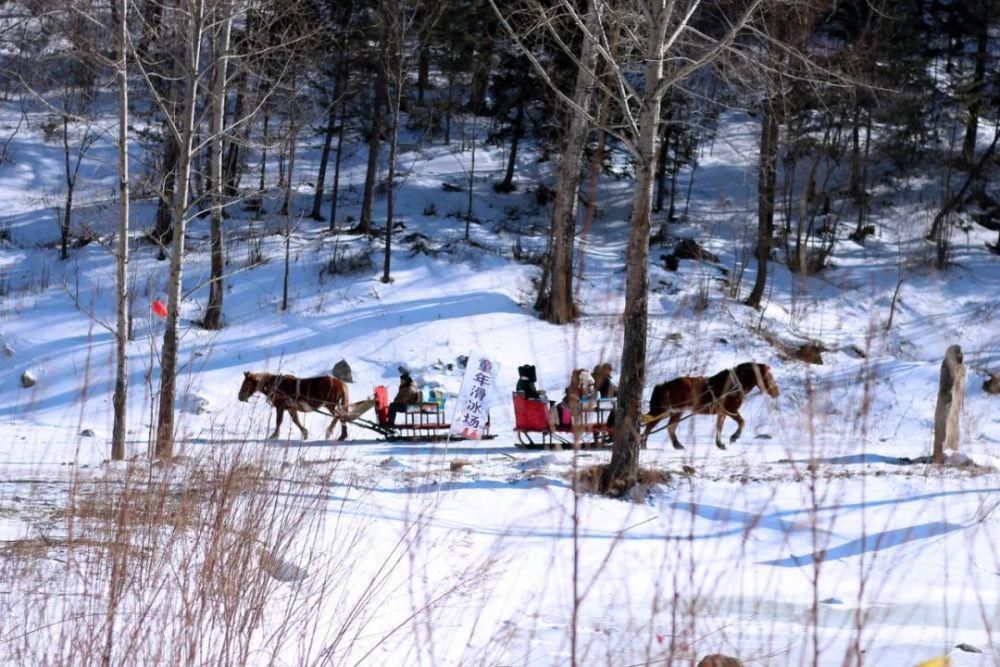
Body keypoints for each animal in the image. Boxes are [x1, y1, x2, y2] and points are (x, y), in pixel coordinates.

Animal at [640, 362, 780, 452]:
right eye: (769, 376)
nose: (777, 392)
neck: (734, 385)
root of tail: (663, 385)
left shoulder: (722, 412)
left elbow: (719, 427)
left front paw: (720, 444)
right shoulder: (731, 410)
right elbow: (742, 422)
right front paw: (734, 437)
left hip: (673, 412)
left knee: (667, 427)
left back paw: (676, 445)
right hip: (668, 411)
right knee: (653, 426)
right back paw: (643, 445)